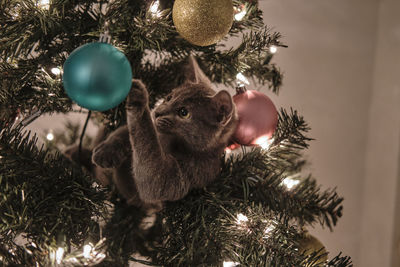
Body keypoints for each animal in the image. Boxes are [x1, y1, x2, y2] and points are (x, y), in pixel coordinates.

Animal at [70, 57, 238, 207]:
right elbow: (125, 132)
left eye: (184, 112)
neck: (170, 140)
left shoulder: (195, 170)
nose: (158, 112)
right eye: (169, 97)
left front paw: (139, 97)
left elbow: (152, 170)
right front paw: (106, 151)